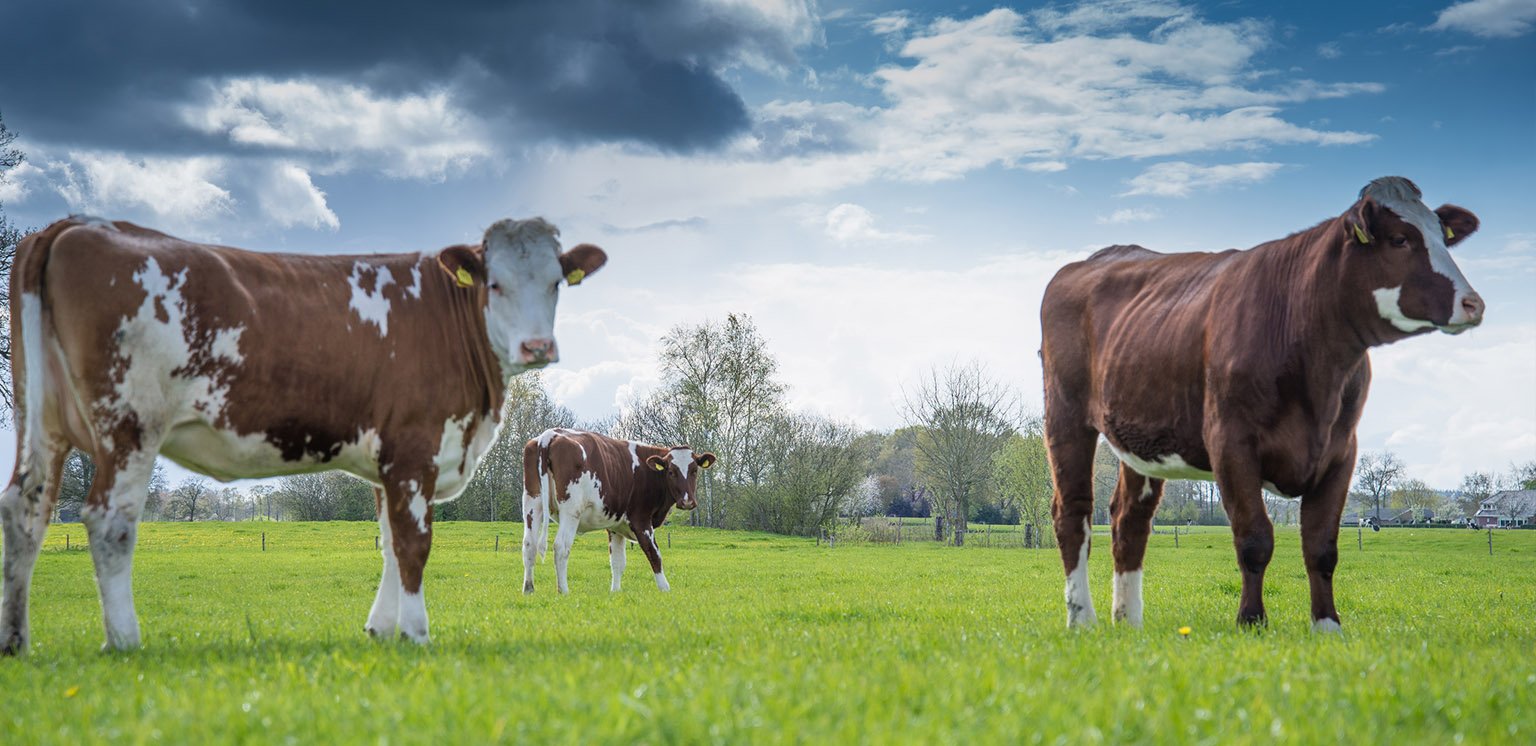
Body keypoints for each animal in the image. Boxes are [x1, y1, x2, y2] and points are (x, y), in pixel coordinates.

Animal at [3, 214, 608, 653]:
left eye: (556, 282)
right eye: (494, 284)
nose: (537, 346)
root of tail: (80, 225)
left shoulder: (386, 461)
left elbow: (388, 544)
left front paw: (380, 629)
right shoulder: (415, 447)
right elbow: (413, 545)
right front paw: (416, 633)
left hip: (43, 420)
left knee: (26, 509)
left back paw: (18, 641)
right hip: (129, 423)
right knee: (109, 521)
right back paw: (124, 640)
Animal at [522, 429, 712, 595]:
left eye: (694, 470)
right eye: (671, 471)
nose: (687, 502)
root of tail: (550, 435)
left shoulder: (615, 526)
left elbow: (617, 561)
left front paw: (615, 592)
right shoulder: (641, 519)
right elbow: (654, 554)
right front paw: (665, 589)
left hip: (532, 503)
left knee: (529, 545)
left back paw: (529, 589)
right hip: (570, 510)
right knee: (561, 546)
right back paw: (563, 591)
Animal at [1038, 178, 1480, 632]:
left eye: (1442, 236)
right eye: (1399, 239)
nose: (1473, 303)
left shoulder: (1341, 451)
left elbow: (1321, 547)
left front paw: (1327, 625)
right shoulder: (1231, 443)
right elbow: (1255, 539)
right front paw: (1251, 620)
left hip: (1140, 436)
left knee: (1129, 520)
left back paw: (1129, 623)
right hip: (1065, 413)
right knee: (1072, 512)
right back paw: (1082, 619)